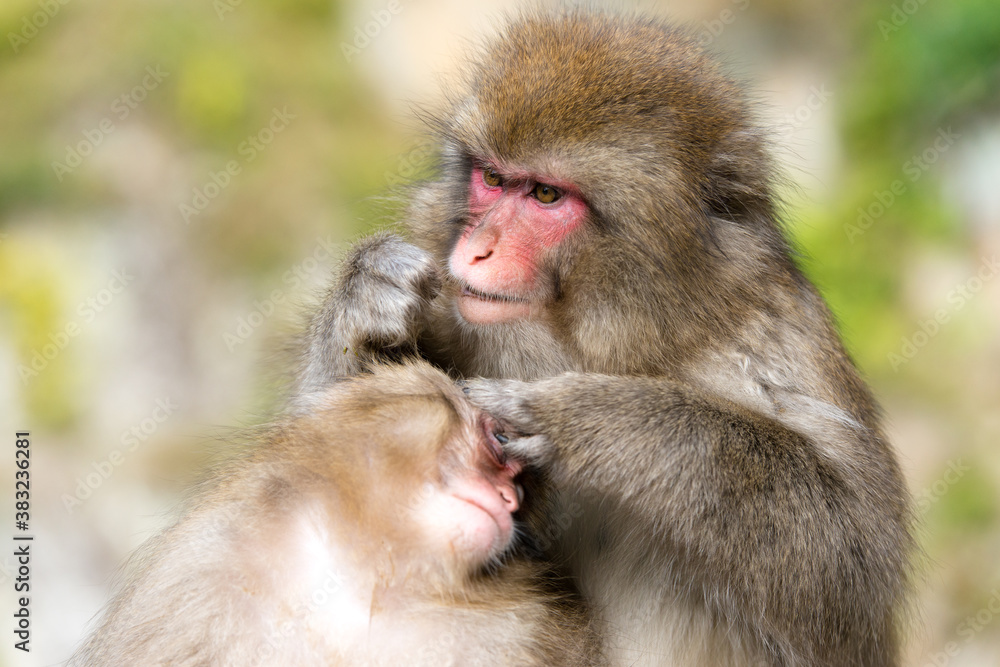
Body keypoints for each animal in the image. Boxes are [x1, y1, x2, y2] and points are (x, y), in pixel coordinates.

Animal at [296, 6, 916, 667]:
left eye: (545, 194)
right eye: (491, 178)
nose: (476, 249)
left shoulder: (777, 336)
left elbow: (849, 568)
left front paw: (590, 419)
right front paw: (364, 298)